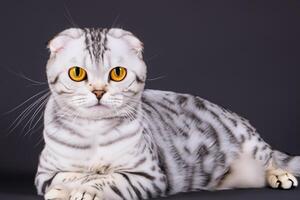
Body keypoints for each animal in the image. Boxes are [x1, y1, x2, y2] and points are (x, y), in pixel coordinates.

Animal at [34, 27, 298, 199]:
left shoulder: (148, 175)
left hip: (251, 145)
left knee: (273, 159)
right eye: (77, 73)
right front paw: (63, 190)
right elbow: (67, 175)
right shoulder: (44, 174)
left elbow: (111, 179)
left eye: (117, 73)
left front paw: (86, 189)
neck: (94, 133)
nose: (98, 91)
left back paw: (281, 176)